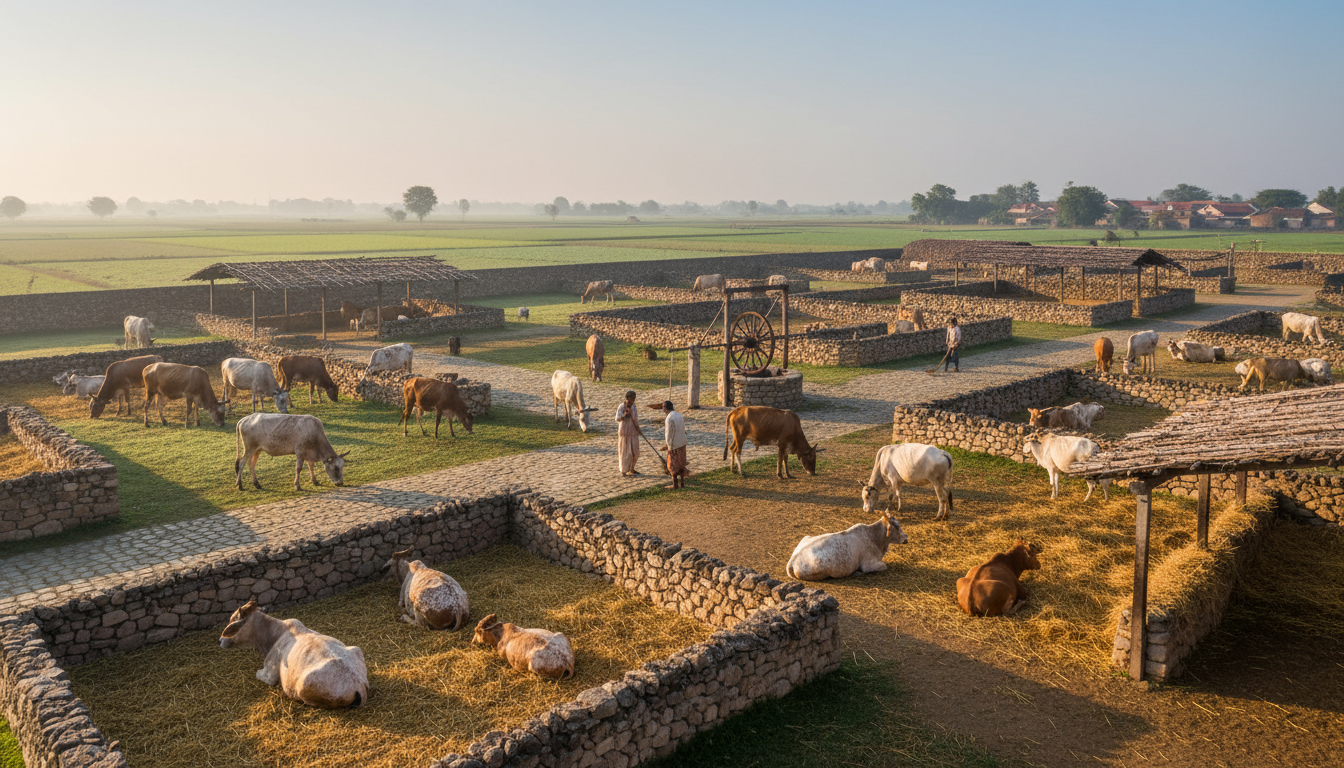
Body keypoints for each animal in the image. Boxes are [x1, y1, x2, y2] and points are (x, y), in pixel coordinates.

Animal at [218, 598, 367, 709]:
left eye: (233, 620)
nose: (220, 640)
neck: (274, 635)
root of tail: (359, 686)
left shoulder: (269, 674)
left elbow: (258, 674)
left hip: (304, 688)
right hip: (356, 649)